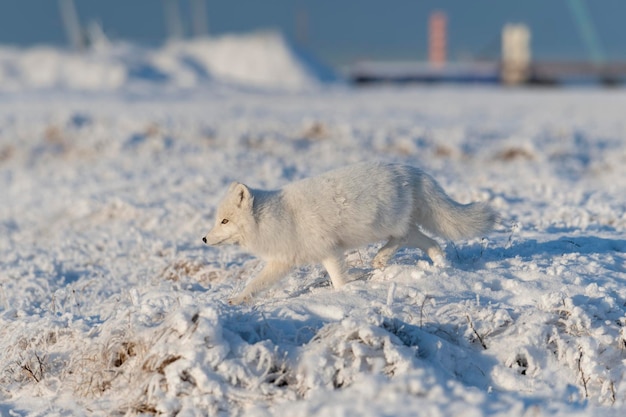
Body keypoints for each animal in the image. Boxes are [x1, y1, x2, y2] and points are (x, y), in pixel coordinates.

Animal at [202, 161, 494, 304]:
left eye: (225, 221)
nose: (204, 238)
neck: (279, 216)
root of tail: (409, 169)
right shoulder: (283, 261)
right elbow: (255, 284)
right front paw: (237, 300)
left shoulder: (329, 251)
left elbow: (338, 280)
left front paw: (346, 296)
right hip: (402, 225)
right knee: (429, 241)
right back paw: (440, 265)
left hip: (383, 224)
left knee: (401, 237)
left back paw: (381, 258)